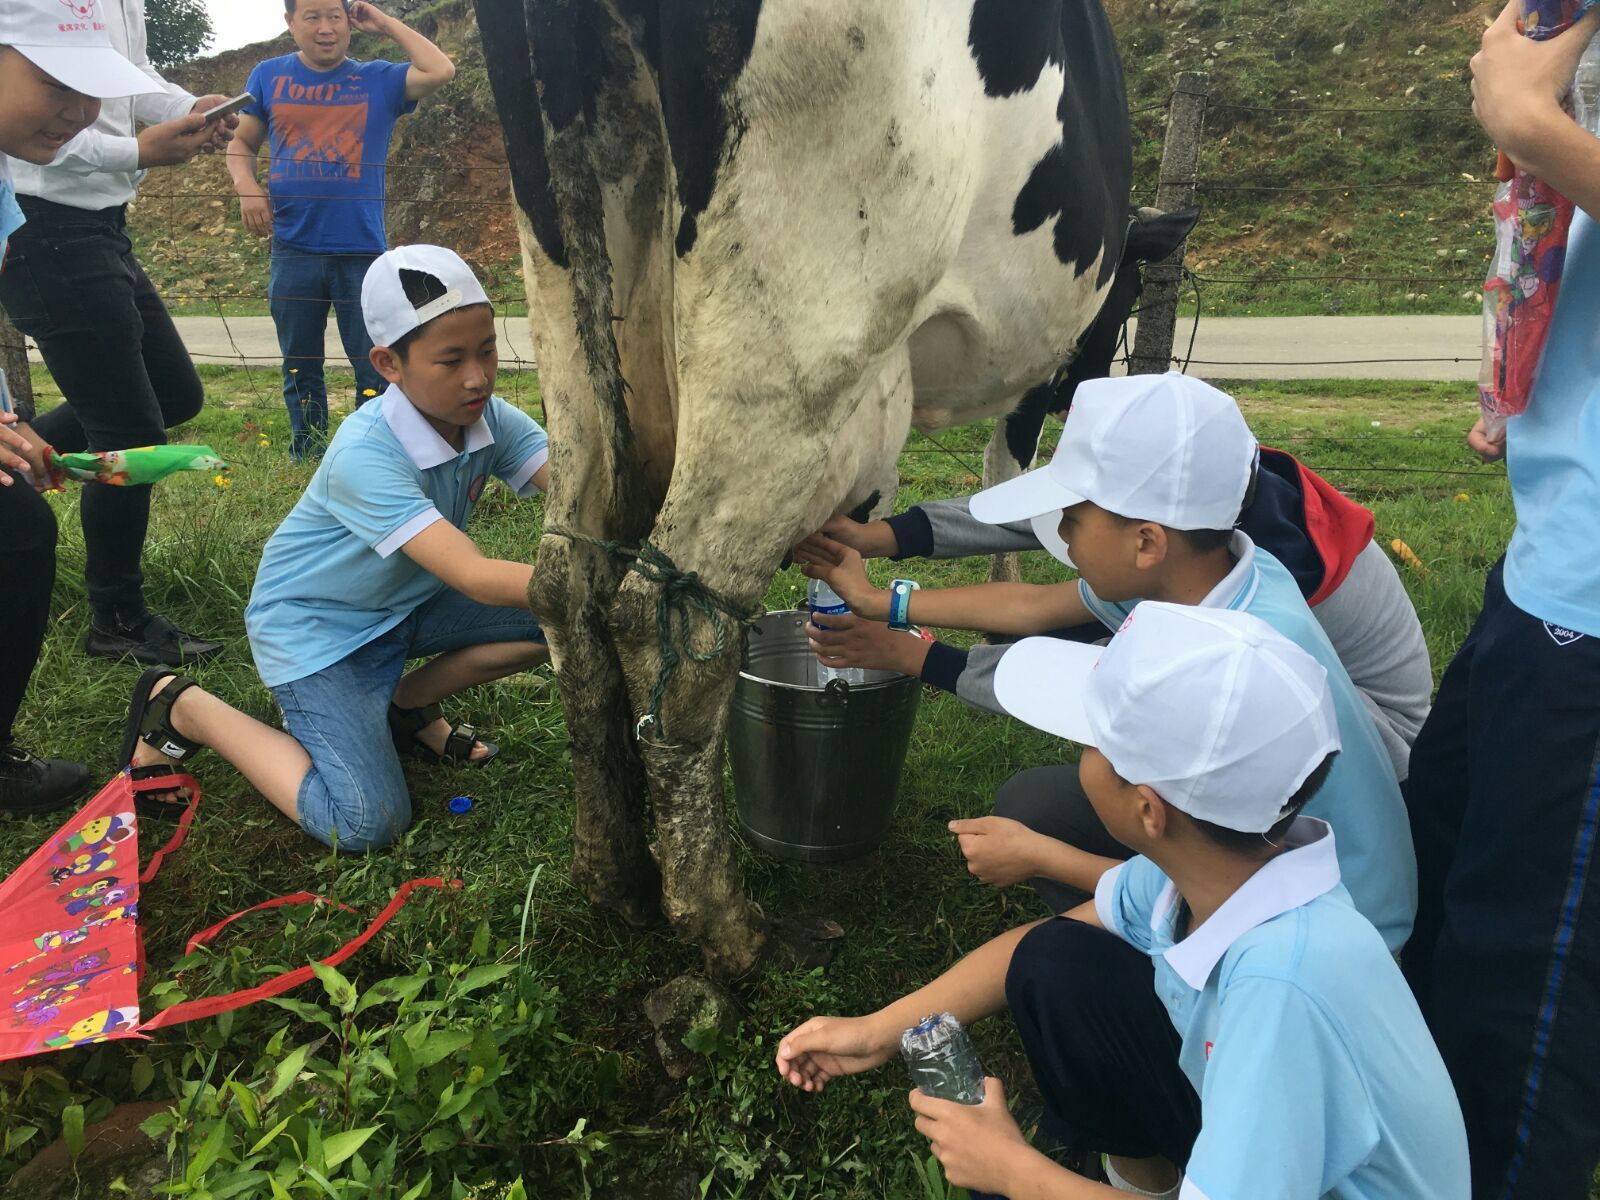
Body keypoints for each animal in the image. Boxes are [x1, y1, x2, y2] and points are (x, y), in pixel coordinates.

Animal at [473, 0, 1139, 979]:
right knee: (667, 622)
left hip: (571, 313)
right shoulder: (1064, 364)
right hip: (802, 322)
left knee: (567, 590)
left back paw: (617, 878)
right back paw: (726, 926)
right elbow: (1014, 479)